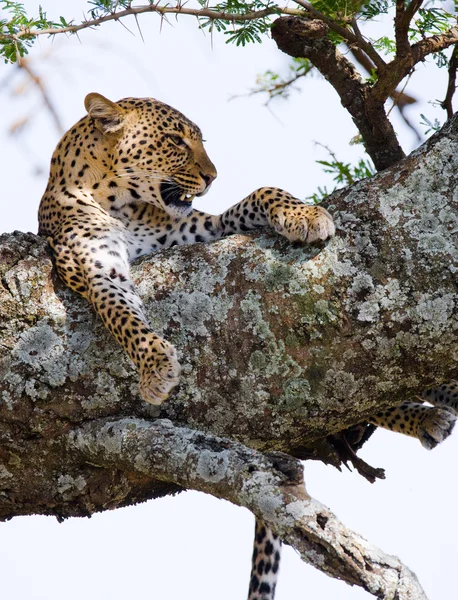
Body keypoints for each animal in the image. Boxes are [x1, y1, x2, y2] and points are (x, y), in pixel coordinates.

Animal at [38, 94, 458, 600]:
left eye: (198, 140)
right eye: (175, 141)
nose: (212, 176)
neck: (122, 203)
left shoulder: (195, 230)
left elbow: (262, 192)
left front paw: (304, 216)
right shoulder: (96, 267)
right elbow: (122, 314)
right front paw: (156, 366)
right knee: (370, 394)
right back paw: (430, 418)